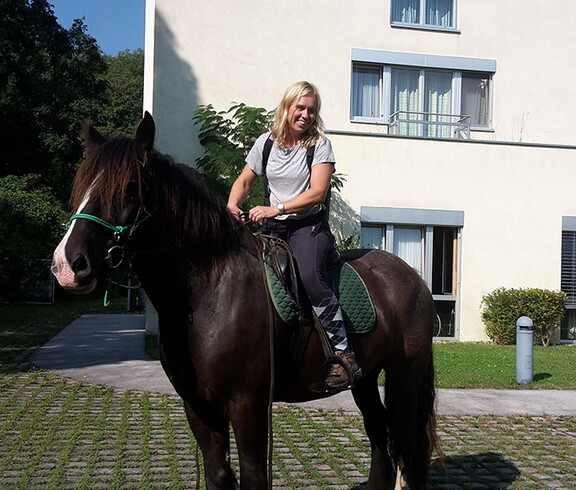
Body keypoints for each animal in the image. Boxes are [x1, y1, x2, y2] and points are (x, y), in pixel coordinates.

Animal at [53, 113, 436, 488]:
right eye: (82, 186)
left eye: (131, 188)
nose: (68, 264)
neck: (211, 291)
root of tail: (414, 278)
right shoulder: (198, 407)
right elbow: (219, 475)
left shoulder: (247, 405)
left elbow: (253, 475)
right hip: (367, 379)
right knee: (379, 435)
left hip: (404, 376)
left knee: (407, 445)